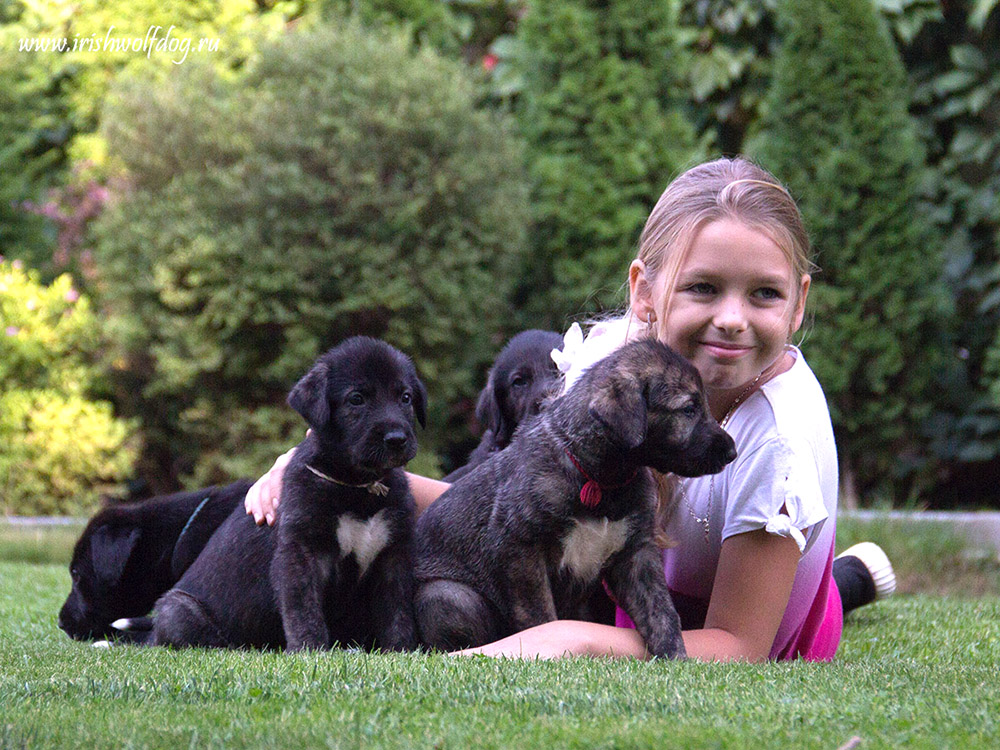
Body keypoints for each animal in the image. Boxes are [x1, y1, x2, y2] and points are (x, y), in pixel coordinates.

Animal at [412, 340, 736, 656]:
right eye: (689, 409)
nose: (732, 452)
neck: (601, 478)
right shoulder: (518, 547)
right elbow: (539, 616)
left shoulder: (637, 553)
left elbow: (661, 610)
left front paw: (674, 657)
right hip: (448, 596)